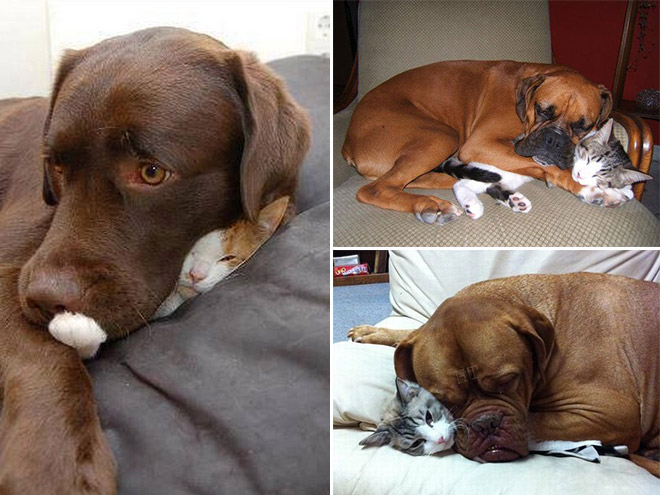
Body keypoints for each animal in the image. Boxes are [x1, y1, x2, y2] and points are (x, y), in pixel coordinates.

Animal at [340, 60, 620, 225]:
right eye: (542, 110)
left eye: (584, 125)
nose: (554, 140)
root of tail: (348, 143)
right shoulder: (481, 143)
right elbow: (555, 168)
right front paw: (590, 188)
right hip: (442, 135)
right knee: (376, 189)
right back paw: (431, 204)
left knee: (405, 181)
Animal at [348, 274, 656, 478]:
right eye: (445, 399)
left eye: (508, 380)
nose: (486, 424)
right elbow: (409, 335)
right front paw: (373, 332)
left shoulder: (608, 413)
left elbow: (534, 420)